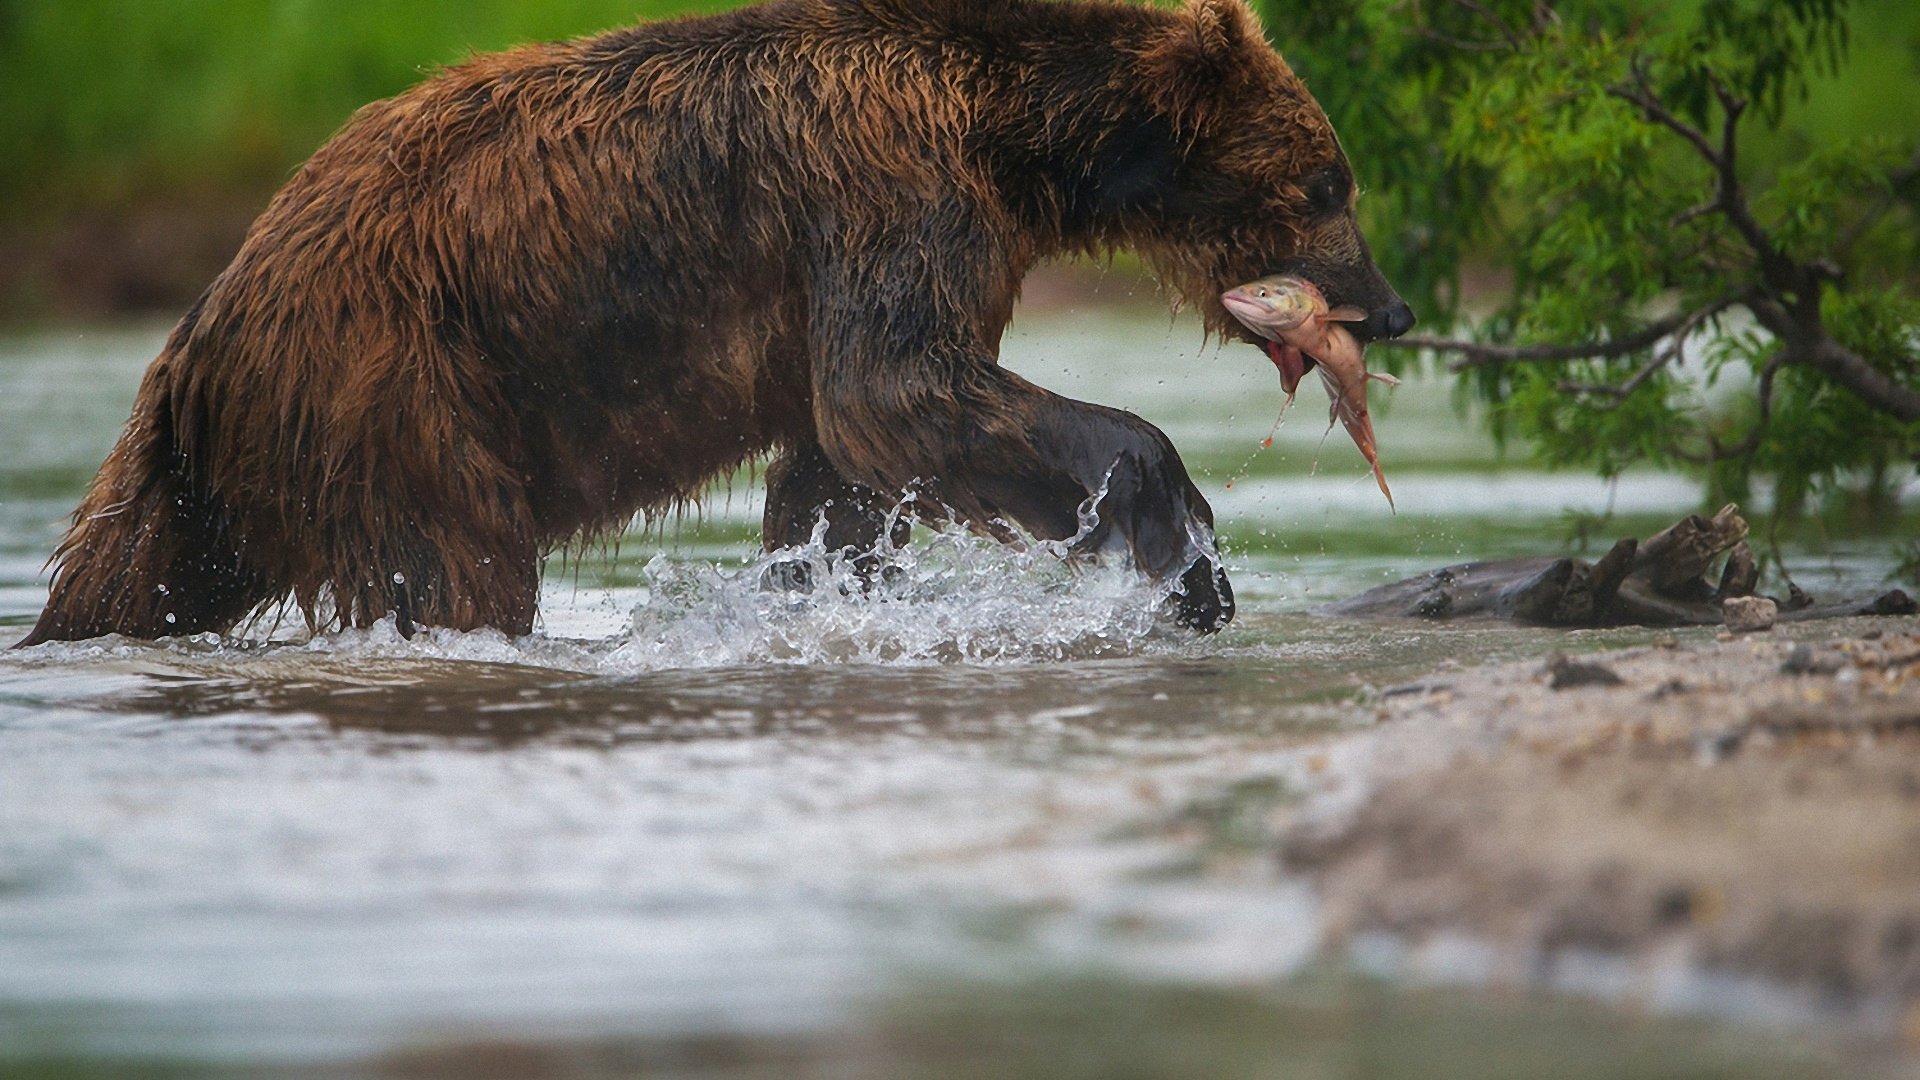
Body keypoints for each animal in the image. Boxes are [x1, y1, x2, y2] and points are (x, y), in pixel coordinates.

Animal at [15, 0, 1413, 641]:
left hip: (201, 475)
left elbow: (843, 464)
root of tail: (202, 329)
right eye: (1330, 181)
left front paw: (823, 593)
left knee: (131, 573)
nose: (1391, 308)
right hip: (398, 382)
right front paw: (1187, 557)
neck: (1020, 141)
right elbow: (901, 388)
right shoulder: (885, 189)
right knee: (459, 559)